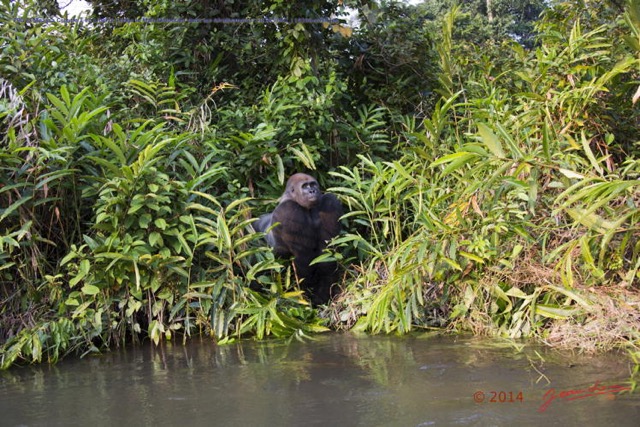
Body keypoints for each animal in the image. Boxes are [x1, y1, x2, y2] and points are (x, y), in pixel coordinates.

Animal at [254, 173, 344, 304]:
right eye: (305, 186)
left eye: (313, 184)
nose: (312, 191)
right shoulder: (289, 210)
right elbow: (304, 257)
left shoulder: (329, 202)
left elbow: (326, 252)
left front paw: (322, 294)